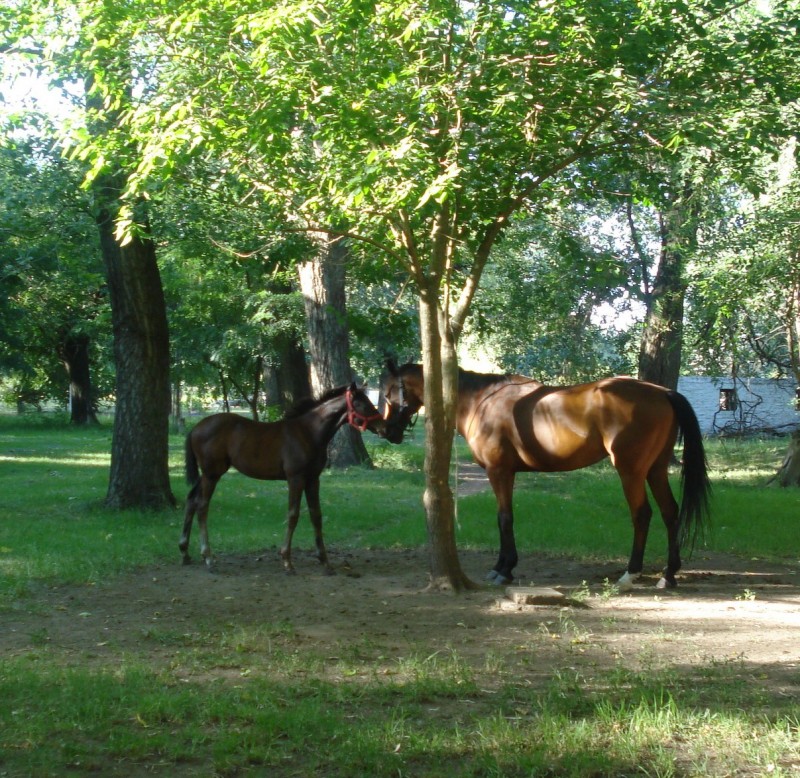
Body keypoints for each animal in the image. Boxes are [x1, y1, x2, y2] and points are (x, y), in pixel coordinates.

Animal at [180, 380, 384, 568]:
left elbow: (316, 515)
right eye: (362, 404)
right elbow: (293, 515)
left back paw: (185, 552)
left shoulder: (313, 479)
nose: (384, 427)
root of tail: (195, 428)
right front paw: (287, 560)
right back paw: (207, 557)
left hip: (207, 474)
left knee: (191, 500)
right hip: (212, 474)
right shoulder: (295, 478)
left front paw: (324, 560)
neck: (308, 432)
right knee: (202, 506)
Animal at [382, 362, 712, 588]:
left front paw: (504, 570)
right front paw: (502, 566)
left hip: (630, 470)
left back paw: (631, 573)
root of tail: (663, 392)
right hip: (655, 470)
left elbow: (504, 518)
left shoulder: (499, 472)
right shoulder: (507, 473)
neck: (481, 401)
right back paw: (669, 575)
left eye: (387, 393)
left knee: (642, 514)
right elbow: (503, 518)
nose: (388, 431)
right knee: (670, 513)